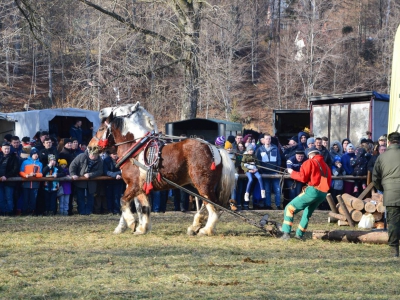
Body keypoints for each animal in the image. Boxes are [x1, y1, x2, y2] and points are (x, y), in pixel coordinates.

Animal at [89, 103, 236, 237]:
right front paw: (142, 228)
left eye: (101, 128)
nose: (90, 147)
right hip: (199, 186)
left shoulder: (134, 185)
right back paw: (195, 226)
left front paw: (131, 223)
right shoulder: (140, 188)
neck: (136, 149)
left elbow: (123, 201)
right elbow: (144, 207)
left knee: (213, 207)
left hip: (203, 185)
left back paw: (206, 230)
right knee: (207, 205)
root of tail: (214, 149)